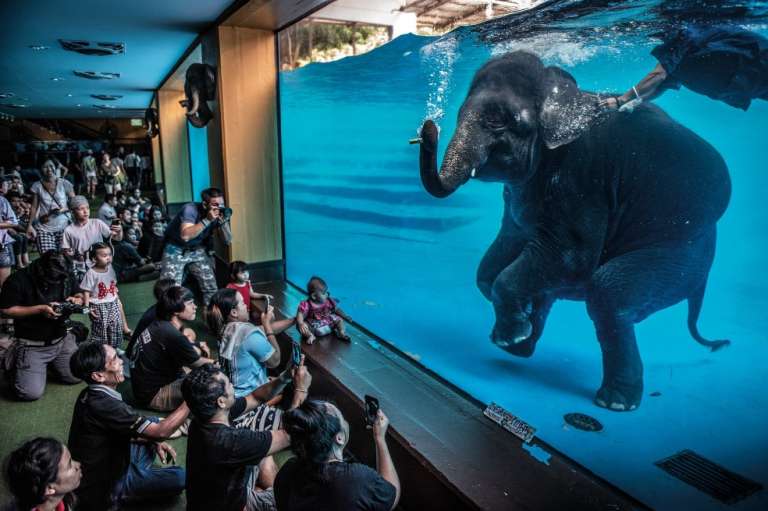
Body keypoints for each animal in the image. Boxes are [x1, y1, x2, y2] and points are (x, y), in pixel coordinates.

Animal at [418, 51, 731, 411]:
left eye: (498, 120)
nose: (428, 128)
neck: (560, 93)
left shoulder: (584, 179)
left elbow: (570, 257)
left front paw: (513, 332)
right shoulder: (520, 197)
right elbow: (497, 259)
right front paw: (520, 324)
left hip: (680, 252)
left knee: (606, 292)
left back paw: (613, 403)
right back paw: (524, 347)